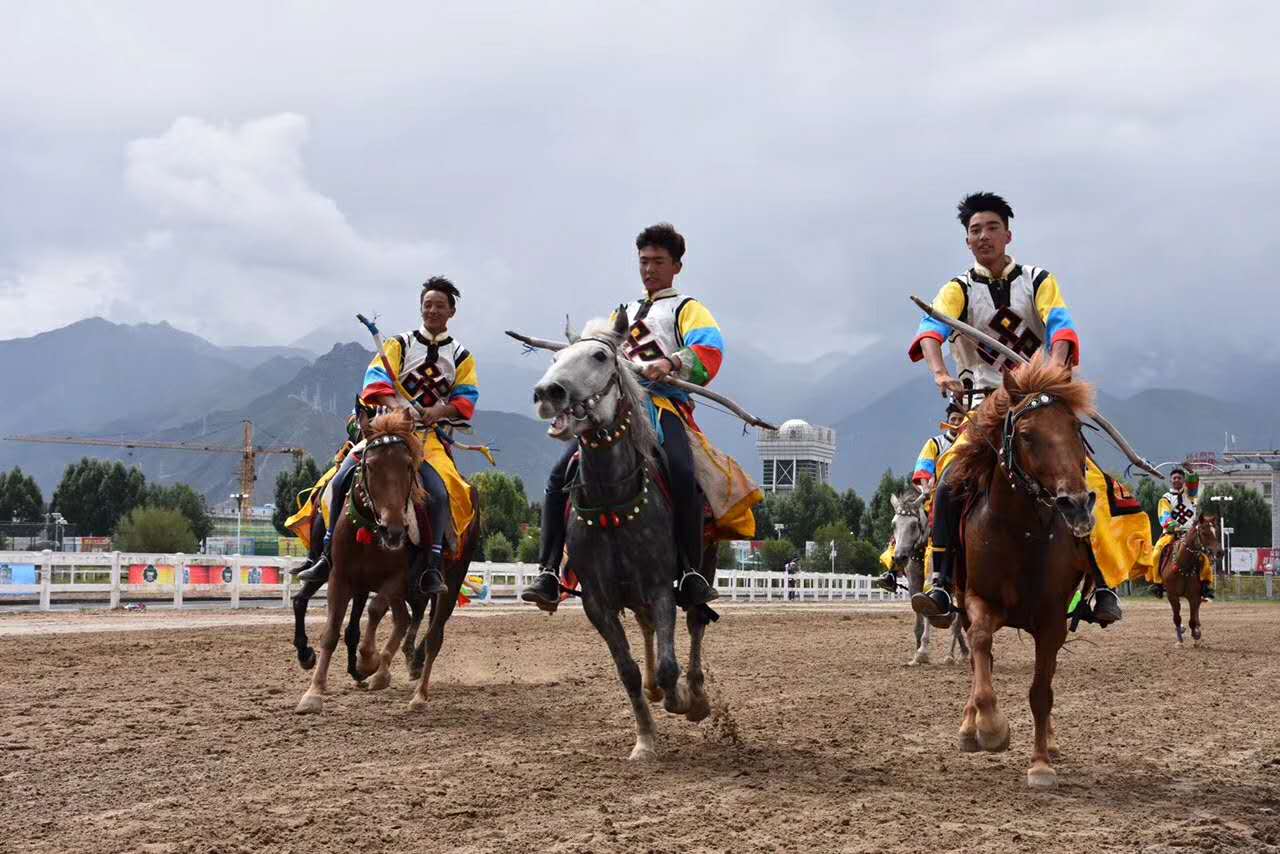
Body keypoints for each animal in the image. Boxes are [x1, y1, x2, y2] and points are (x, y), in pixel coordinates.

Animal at [295, 412, 424, 717]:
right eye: (370, 466)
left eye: (408, 465)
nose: (394, 530)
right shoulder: (341, 577)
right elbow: (333, 631)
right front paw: (313, 693)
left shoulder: (392, 579)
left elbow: (367, 618)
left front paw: (366, 664)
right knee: (300, 598)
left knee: (404, 616)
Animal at [527, 308, 711, 763]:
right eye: (556, 357)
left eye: (599, 356)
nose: (547, 392)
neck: (613, 498)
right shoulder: (597, 601)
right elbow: (626, 671)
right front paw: (645, 740)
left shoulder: (661, 586)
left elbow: (669, 664)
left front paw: (680, 699)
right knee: (648, 632)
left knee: (697, 621)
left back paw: (697, 697)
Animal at [890, 486, 967, 665]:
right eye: (894, 524)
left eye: (913, 525)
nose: (899, 557)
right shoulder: (915, 583)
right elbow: (922, 612)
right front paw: (918, 653)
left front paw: (925, 651)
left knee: (958, 621)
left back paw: (952, 655)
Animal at [947, 353, 1095, 788]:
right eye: (1027, 435)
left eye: (1076, 429)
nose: (1075, 504)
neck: (1020, 530)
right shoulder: (979, 601)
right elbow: (981, 647)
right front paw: (990, 728)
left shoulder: (1051, 619)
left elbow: (1041, 691)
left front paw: (1041, 763)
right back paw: (970, 727)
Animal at [1162, 514, 1218, 647]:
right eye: (1204, 532)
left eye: (1216, 532)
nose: (1220, 552)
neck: (1184, 566)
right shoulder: (1172, 595)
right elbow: (1177, 618)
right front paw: (1180, 640)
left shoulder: (1194, 596)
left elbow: (1193, 619)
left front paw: (1196, 636)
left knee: (1196, 613)